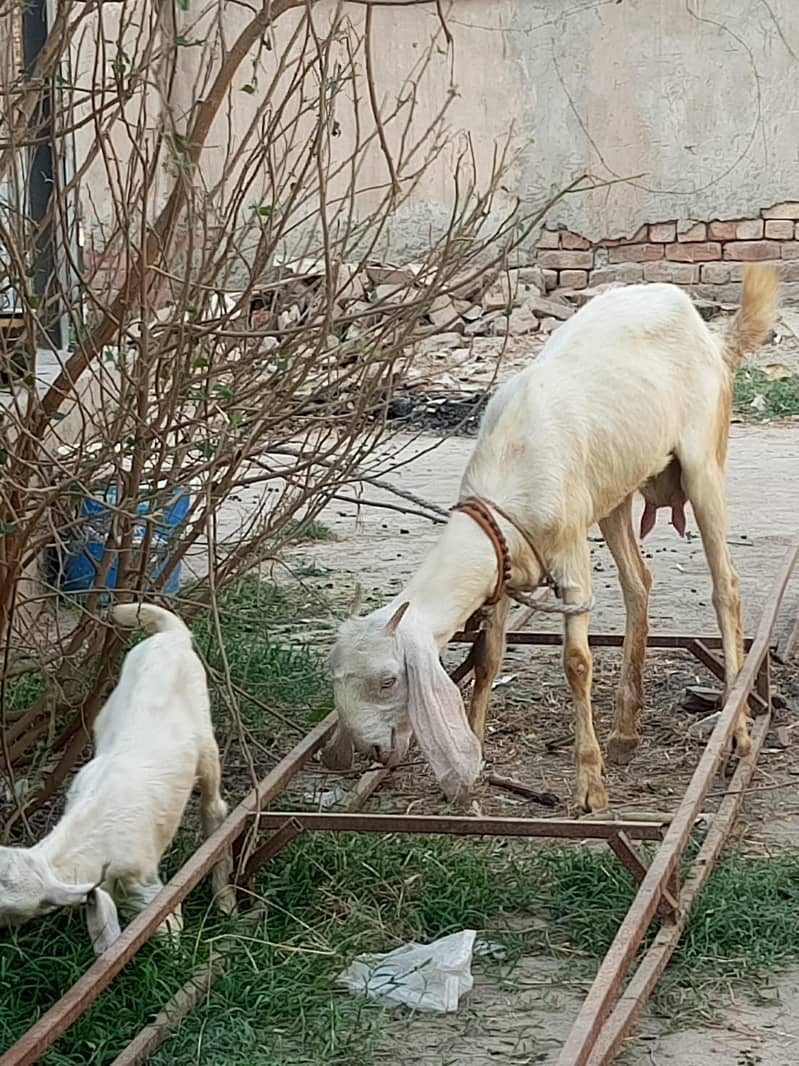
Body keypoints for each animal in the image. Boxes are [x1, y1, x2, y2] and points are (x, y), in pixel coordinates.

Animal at [0, 603, 235, 954]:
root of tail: (173, 636)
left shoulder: (147, 887)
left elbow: (168, 933)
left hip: (206, 744)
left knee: (214, 806)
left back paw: (225, 899)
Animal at [325, 265, 778, 812]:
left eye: (389, 680)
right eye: (334, 678)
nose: (366, 750)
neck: (509, 467)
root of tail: (711, 333)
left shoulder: (570, 557)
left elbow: (576, 662)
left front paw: (590, 787)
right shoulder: (502, 562)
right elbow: (488, 654)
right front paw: (477, 743)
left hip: (702, 462)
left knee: (725, 585)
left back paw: (736, 734)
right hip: (612, 491)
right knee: (638, 583)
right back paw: (624, 732)